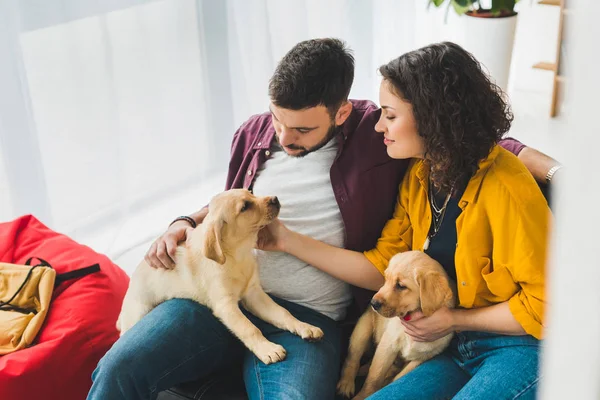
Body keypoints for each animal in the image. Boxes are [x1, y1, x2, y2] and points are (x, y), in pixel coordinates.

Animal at [116, 189, 324, 364]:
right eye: (245, 207)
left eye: (251, 192)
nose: (275, 199)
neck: (237, 254)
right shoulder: (225, 305)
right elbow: (250, 328)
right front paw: (267, 349)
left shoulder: (254, 294)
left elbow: (283, 313)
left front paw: (305, 327)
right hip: (138, 313)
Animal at [338, 252, 454, 398]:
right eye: (386, 278)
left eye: (401, 286)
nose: (373, 303)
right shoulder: (388, 344)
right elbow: (374, 377)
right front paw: (363, 396)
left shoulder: (422, 358)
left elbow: (398, 378)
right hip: (361, 333)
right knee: (352, 359)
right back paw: (345, 385)